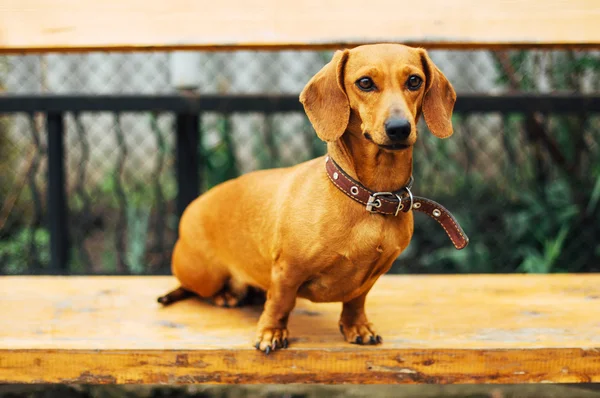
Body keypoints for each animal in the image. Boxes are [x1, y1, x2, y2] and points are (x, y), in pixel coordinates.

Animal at [157, 43, 458, 352]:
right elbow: (280, 303)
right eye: (365, 82)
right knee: (196, 287)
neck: (369, 197)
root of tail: (191, 208)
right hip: (203, 275)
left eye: (414, 81)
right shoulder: (287, 270)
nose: (399, 128)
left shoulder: (371, 276)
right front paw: (271, 333)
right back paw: (221, 295)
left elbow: (356, 301)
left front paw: (357, 326)